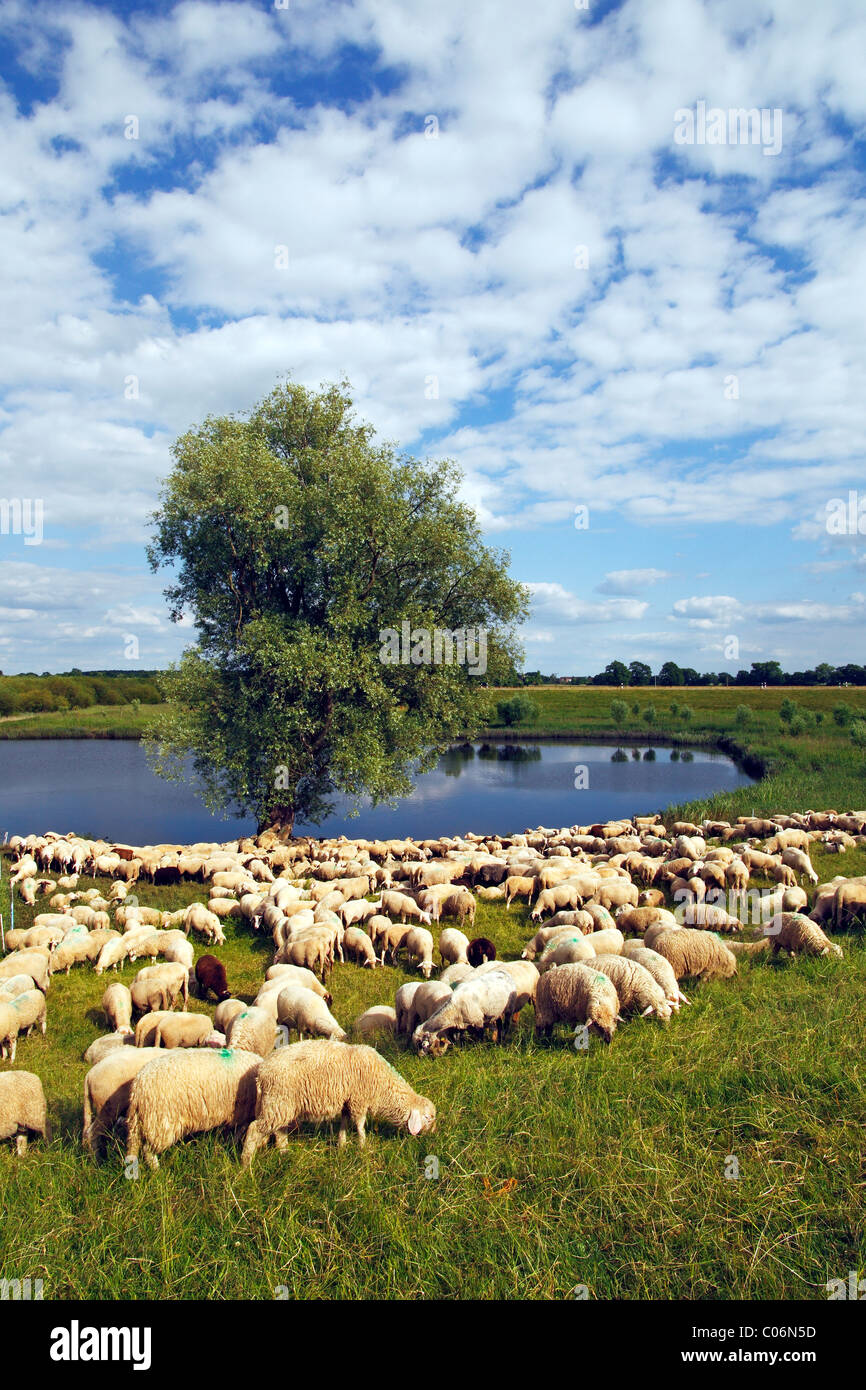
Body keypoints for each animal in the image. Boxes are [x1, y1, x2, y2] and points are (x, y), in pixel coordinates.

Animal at [124, 1045, 261, 1167]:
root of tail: (138, 1087)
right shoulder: (244, 1111)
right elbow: (240, 1130)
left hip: (145, 1123)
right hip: (160, 1123)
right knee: (148, 1150)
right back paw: (156, 1170)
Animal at [240, 1045, 436, 1162]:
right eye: (428, 1118)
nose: (433, 1134)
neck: (382, 1085)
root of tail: (261, 1072)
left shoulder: (347, 1103)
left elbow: (344, 1124)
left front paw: (342, 1145)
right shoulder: (358, 1100)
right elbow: (360, 1125)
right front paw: (363, 1147)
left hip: (282, 1105)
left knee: (280, 1131)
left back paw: (284, 1152)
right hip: (277, 1102)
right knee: (254, 1129)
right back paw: (246, 1163)